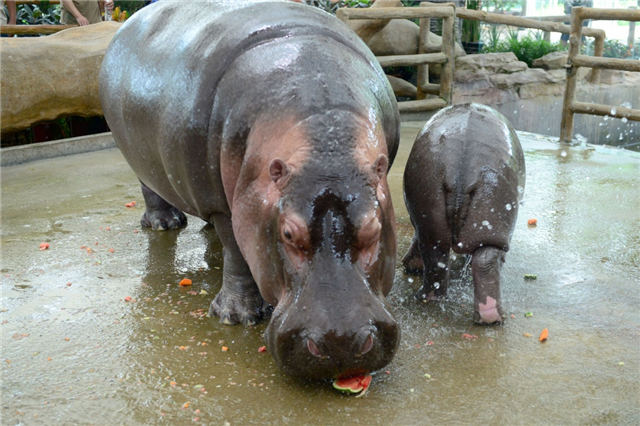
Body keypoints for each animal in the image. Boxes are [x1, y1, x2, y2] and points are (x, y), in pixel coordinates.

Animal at [100, 0, 400, 380]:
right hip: (140, 162)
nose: (340, 342)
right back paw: (165, 224)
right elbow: (237, 251)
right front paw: (235, 317)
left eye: (375, 228)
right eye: (288, 234)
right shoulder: (225, 206)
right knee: (152, 190)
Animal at [404, 105, 524, 324]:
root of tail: (459, 171)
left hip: (431, 216)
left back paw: (428, 298)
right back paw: (493, 319)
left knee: (435, 257)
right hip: (491, 221)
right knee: (485, 260)